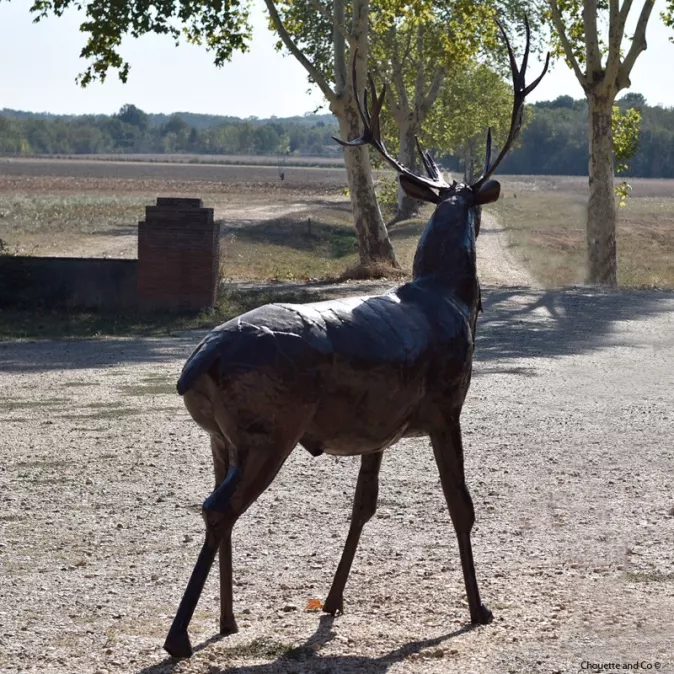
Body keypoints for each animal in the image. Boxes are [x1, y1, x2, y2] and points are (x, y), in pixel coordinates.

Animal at [163, 20, 549, 659]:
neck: (451, 299)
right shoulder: (446, 406)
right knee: (218, 508)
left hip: (222, 437)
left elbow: (363, 506)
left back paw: (229, 620)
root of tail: (198, 364)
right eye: (471, 204)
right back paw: (179, 637)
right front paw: (479, 608)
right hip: (271, 428)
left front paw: (334, 601)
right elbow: (461, 505)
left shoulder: (378, 424)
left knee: (218, 504)